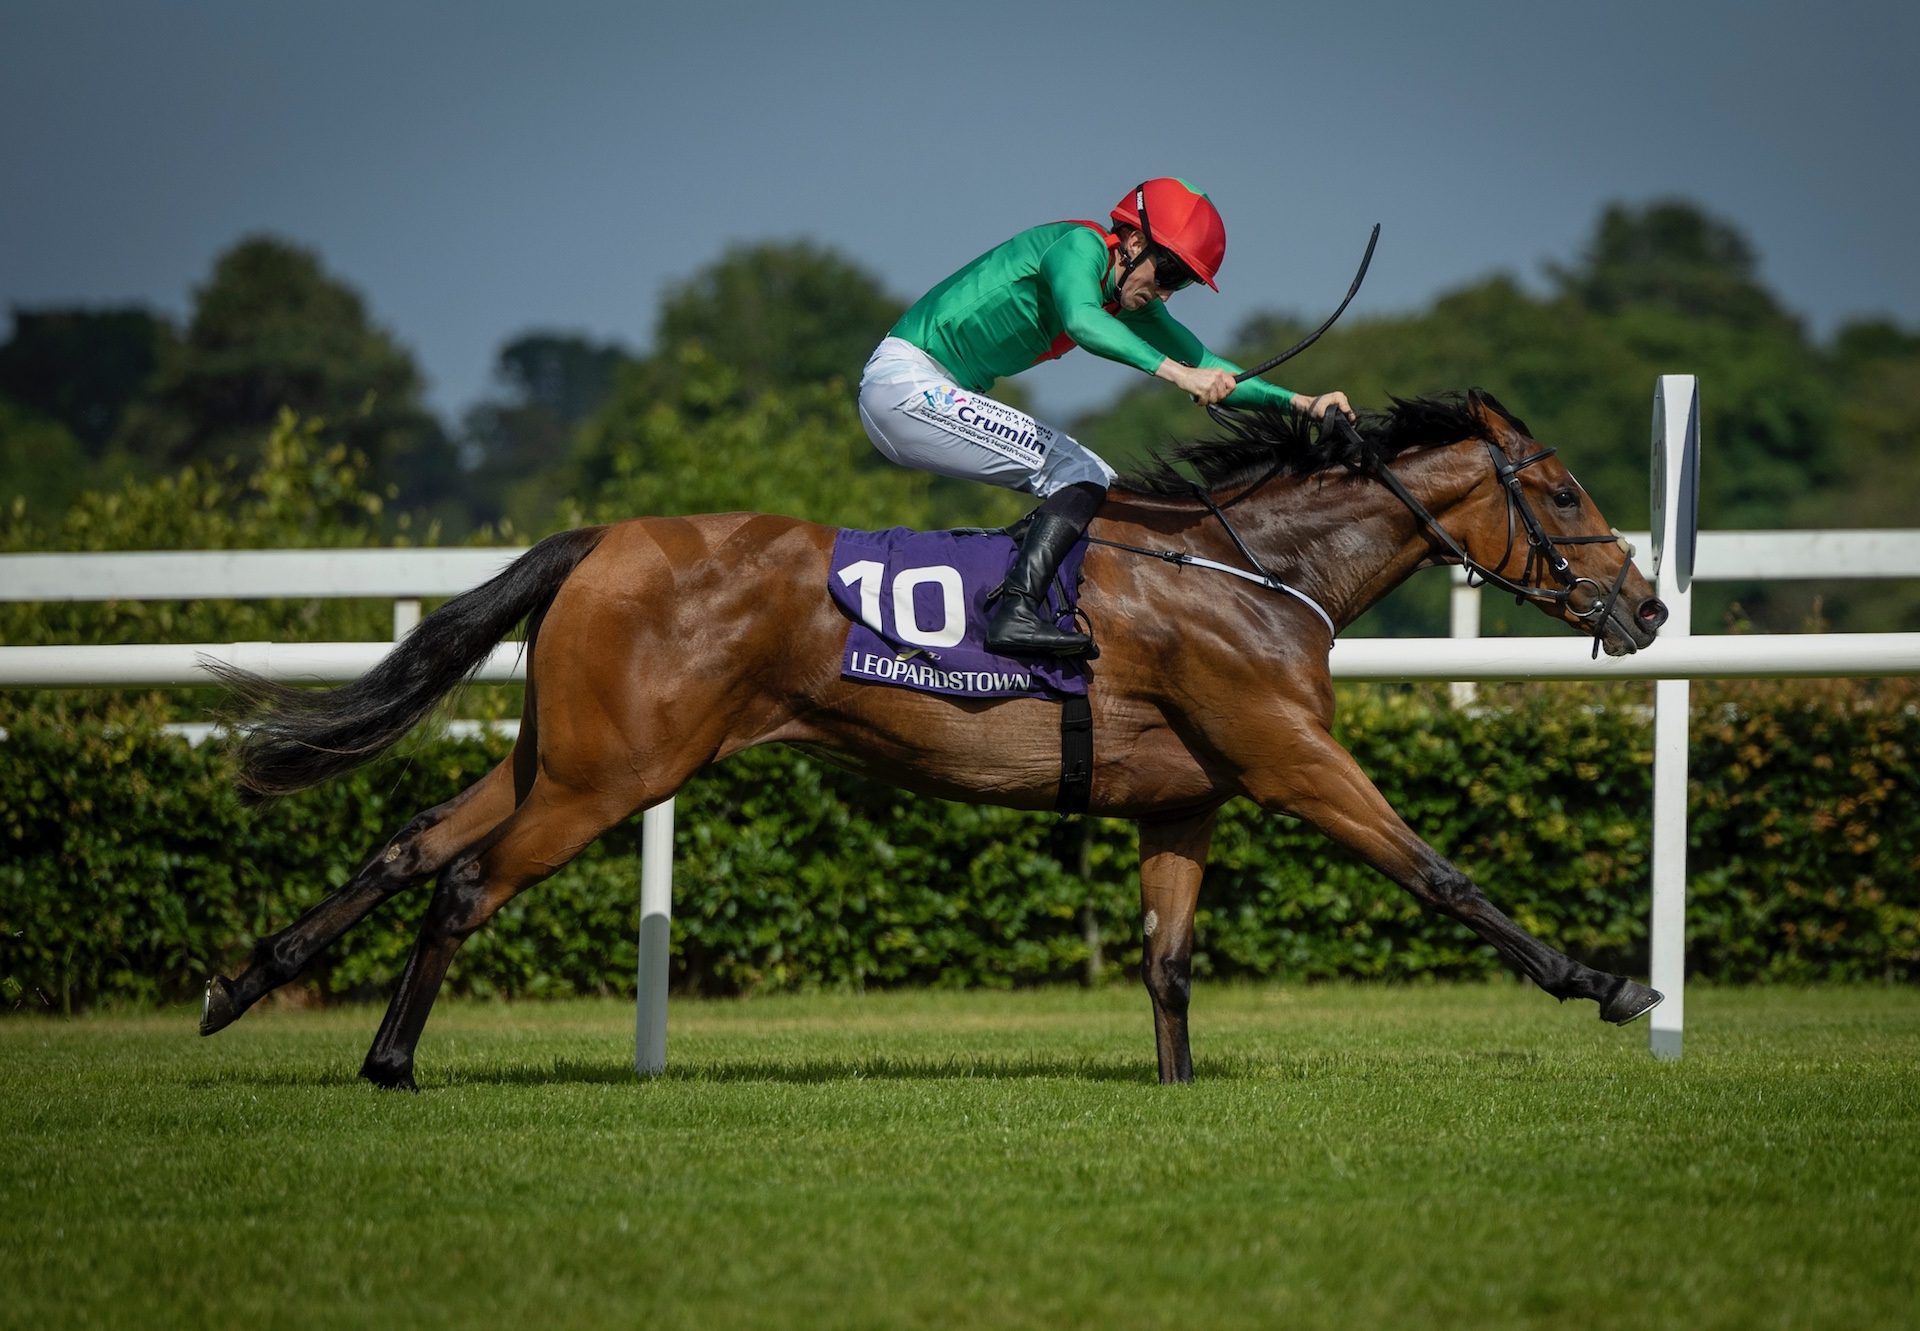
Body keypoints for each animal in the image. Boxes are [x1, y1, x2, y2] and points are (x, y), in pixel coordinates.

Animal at [198, 389, 1666, 1083]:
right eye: (1560, 491)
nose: (1647, 605)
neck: (1255, 567)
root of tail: (600, 537)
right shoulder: (1287, 755)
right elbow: (1441, 872)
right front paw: (1607, 982)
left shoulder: (1184, 798)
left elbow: (1169, 963)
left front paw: (1180, 1093)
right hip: (617, 771)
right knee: (463, 878)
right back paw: (389, 1059)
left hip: (560, 750)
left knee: (408, 840)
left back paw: (241, 981)